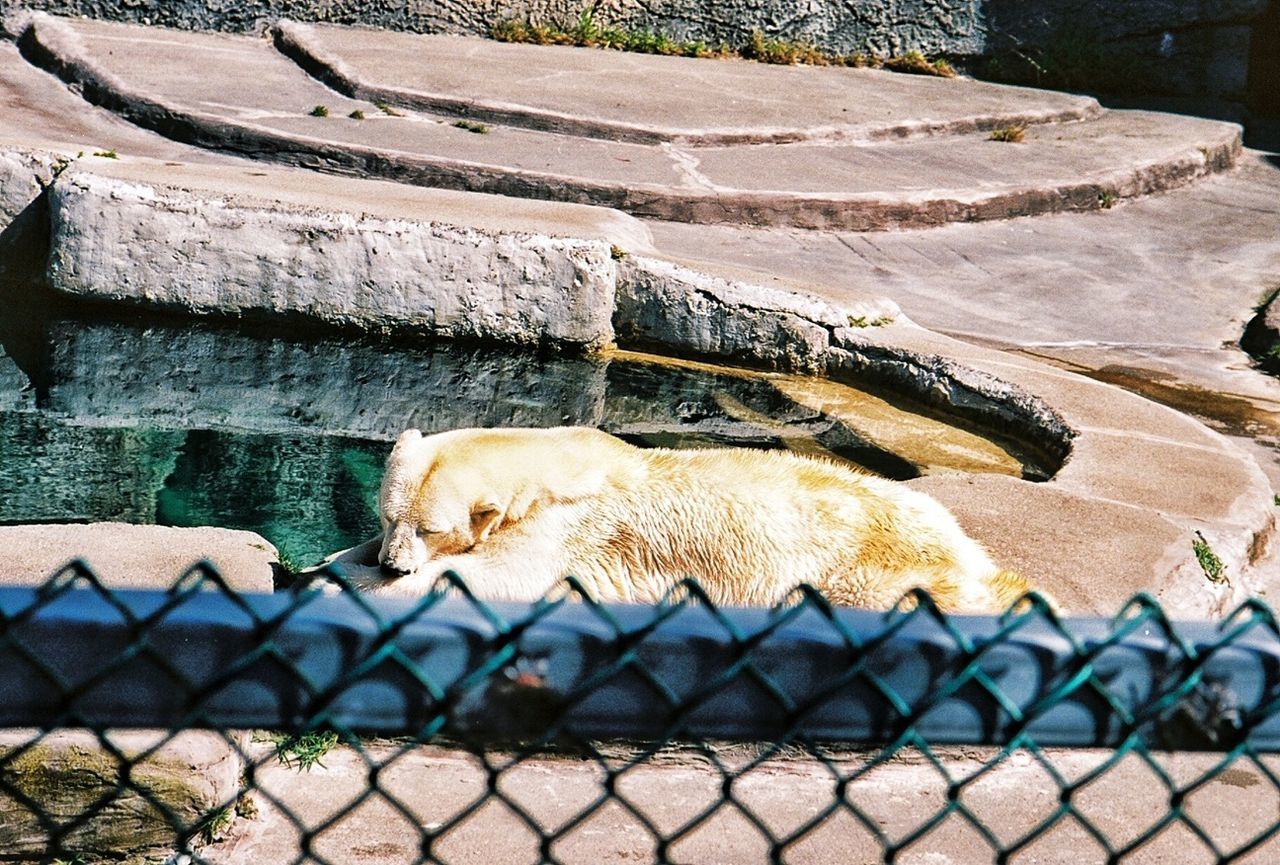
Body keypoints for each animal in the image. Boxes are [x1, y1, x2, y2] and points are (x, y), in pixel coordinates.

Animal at [325, 424, 1044, 614]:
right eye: (387, 515)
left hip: (869, 564)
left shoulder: (570, 529)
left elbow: (495, 577)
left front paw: (349, 584)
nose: (392, 561)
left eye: (429, 527)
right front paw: (340, 558)